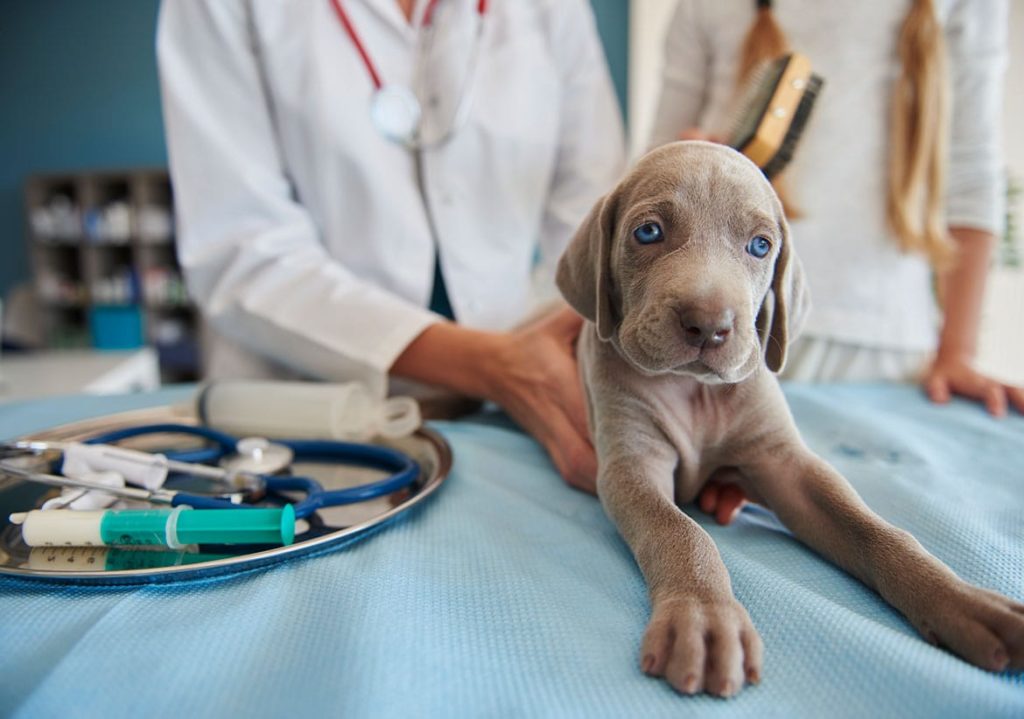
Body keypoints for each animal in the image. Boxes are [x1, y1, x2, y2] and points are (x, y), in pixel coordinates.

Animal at [561, 141, 1024, 696]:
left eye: (760, 246)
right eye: (647, 232)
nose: (709, 326)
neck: (695, 392)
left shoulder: (785, 464)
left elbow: (874, 529)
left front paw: (960, 599)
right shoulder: (631, 466)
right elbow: (678, 530)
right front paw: (704, 618)